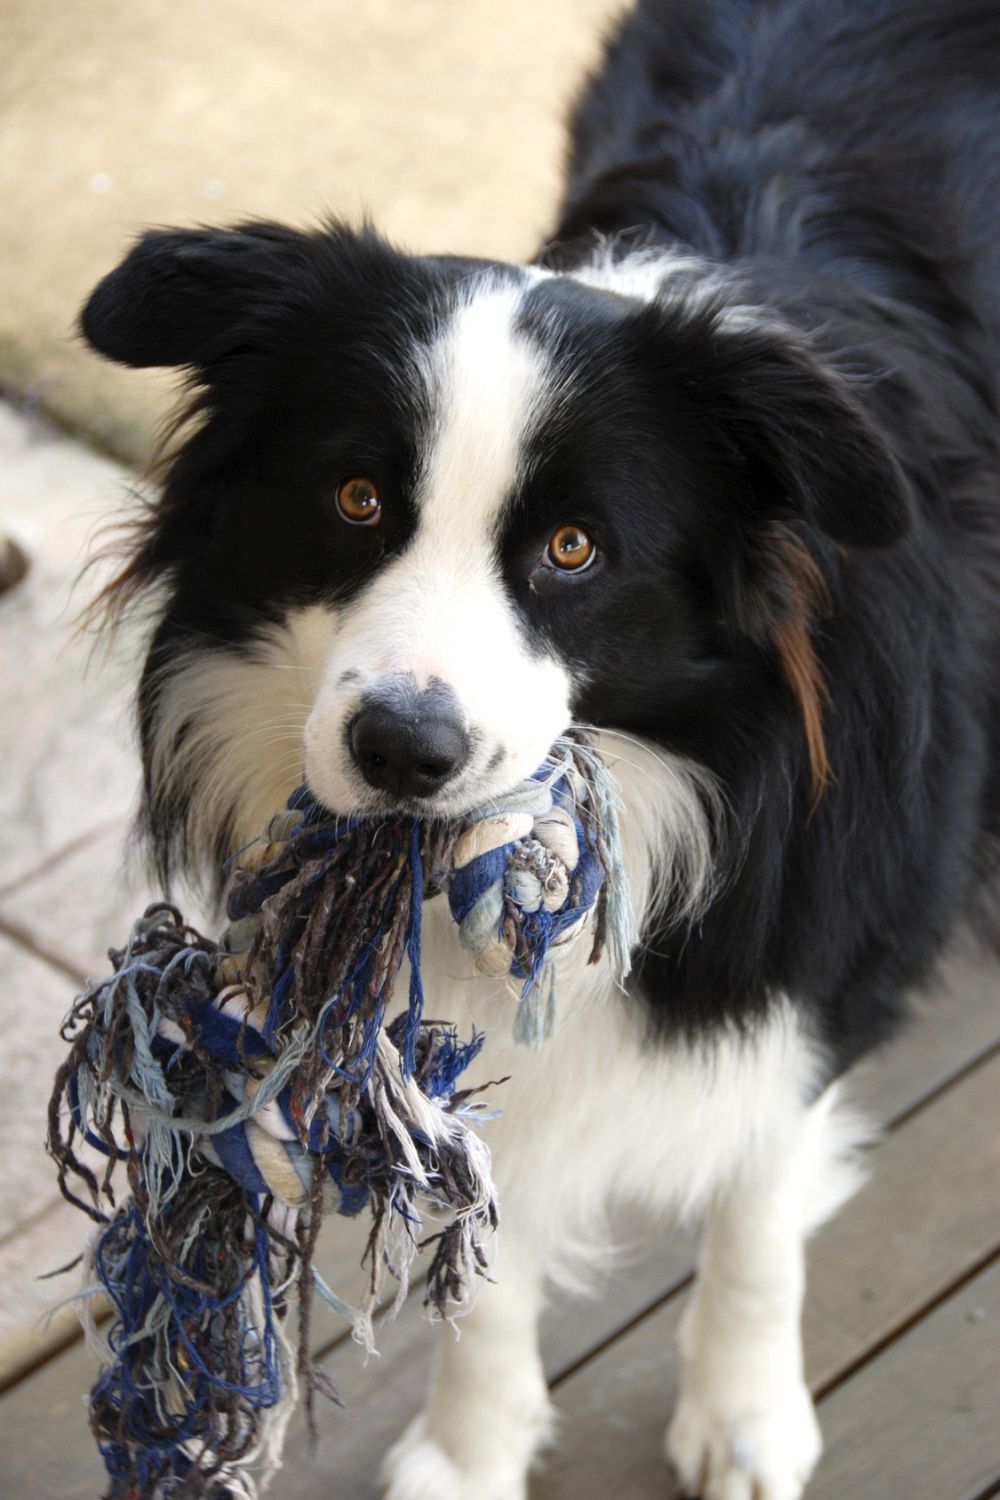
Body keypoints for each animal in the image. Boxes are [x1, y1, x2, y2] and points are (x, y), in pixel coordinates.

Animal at [80, 2, 1000, 1500]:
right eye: (355, 498)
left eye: (573, 549)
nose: (404, 750)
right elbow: (479, 1200)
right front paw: (471, 1445)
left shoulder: (827, 926)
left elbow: (757, 1188)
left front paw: (746, 1413)